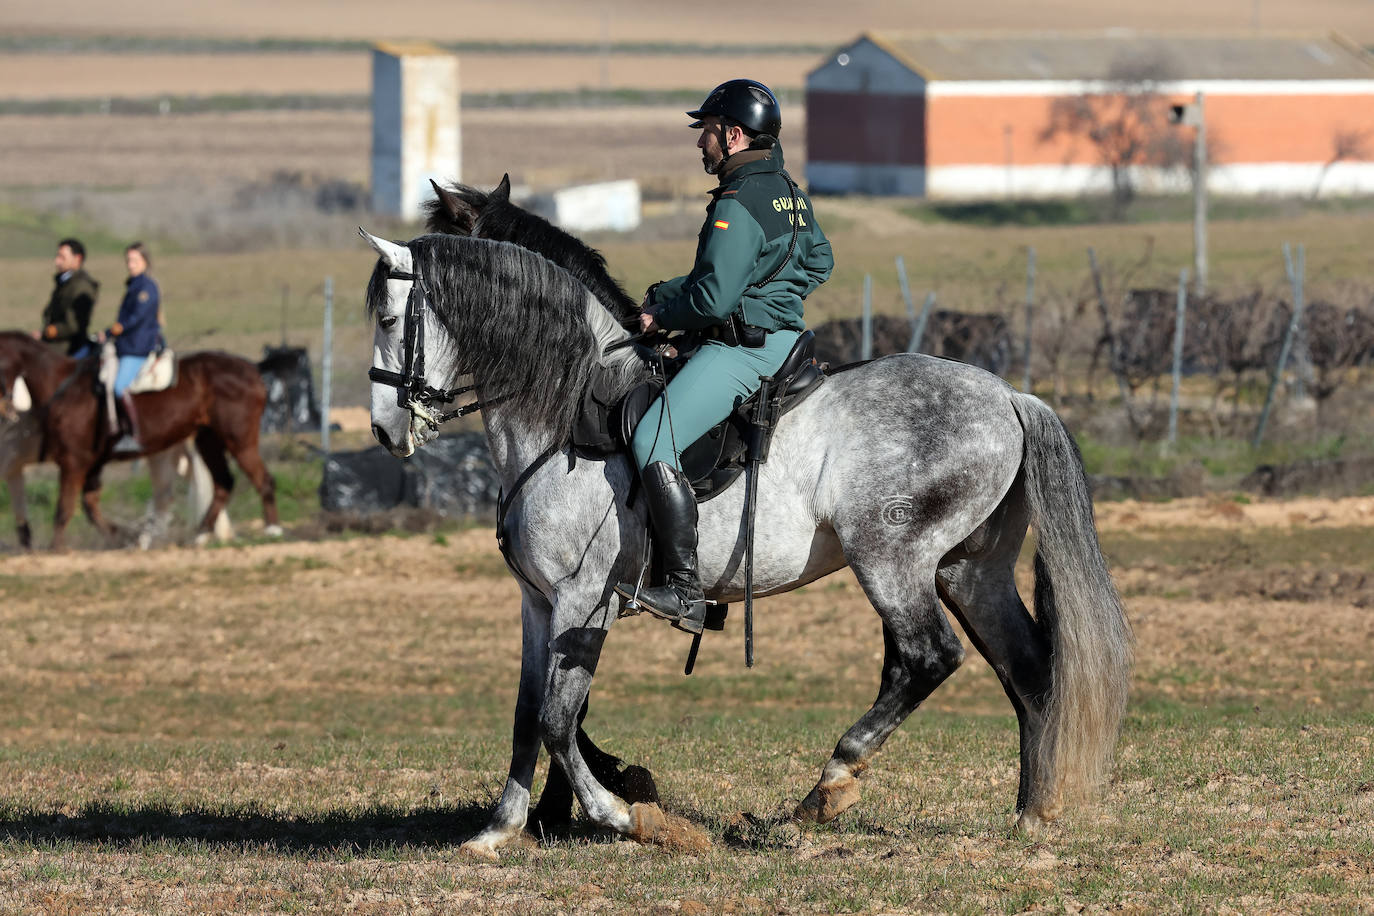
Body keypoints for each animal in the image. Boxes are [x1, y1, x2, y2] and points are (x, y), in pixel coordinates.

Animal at [0, 330, 278, 552]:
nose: (5, 410)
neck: (62, 384)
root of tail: (252, 369)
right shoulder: (91, 463)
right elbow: (90, 506)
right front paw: (124, 536)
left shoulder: (73, 461)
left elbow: (64, 508)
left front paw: (56, 548)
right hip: (206, 441)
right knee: (219, 484)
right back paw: (197, 535)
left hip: (238, 441)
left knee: (260, 479)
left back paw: (272, 530)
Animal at [359, 229, 1132, 862]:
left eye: (391, 320)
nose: (384, 433)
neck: (568, 415)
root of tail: (1008, 397)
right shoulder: (537, 602)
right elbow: (528, 713)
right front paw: (498, 829)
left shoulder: (584, 600)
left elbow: (558, 716)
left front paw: (629, 818)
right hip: (969, 570)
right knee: (1025, 668)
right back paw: (1032, 815)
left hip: (893, 560)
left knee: (926, 657)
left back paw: (826, 791)